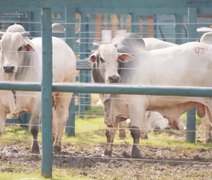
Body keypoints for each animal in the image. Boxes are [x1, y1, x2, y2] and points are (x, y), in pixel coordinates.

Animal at [0, 23, 76, 153]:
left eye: (20, 48)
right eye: (2, 47)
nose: (8, 68)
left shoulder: (37, 103)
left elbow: (34, 128)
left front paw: (35, 149)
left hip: (64, 94)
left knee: (61, 117)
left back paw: (57, 146)